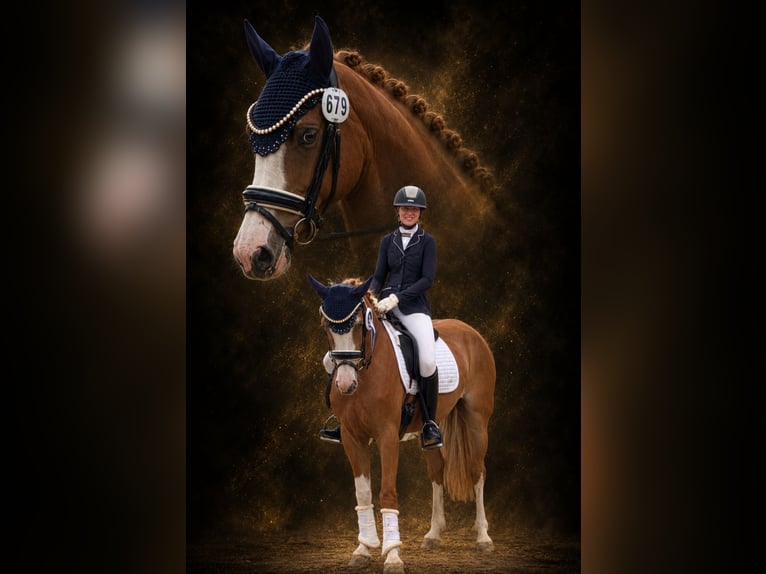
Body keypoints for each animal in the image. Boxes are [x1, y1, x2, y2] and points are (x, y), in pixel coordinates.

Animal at [308, 275, 496, 573]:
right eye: (326, 326)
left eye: (359, 325)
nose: (346, 384)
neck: (367, 371)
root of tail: (470, 331)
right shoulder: (351, 437)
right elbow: (363, 495)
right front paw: (362, 550)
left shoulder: (387, 436)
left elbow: (386, 493)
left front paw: (393, 556)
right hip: (430, 428)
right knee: (437, 471)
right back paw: (433, 535)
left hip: (477, 420)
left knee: (477, 471)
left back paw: (483, 538)